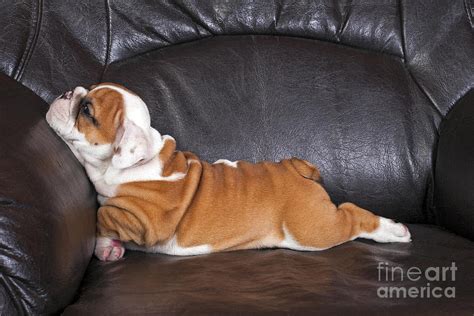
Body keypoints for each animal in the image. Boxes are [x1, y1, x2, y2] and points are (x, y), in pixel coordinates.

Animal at [47, 83, 412, 262]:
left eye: (87, 111)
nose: (67, 93)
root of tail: (296, 169)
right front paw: (111, 249)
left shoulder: (143, 220)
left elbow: (103, 215)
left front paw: (106, 245)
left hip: (310, 229)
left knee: (351, 216)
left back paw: (394, 230)